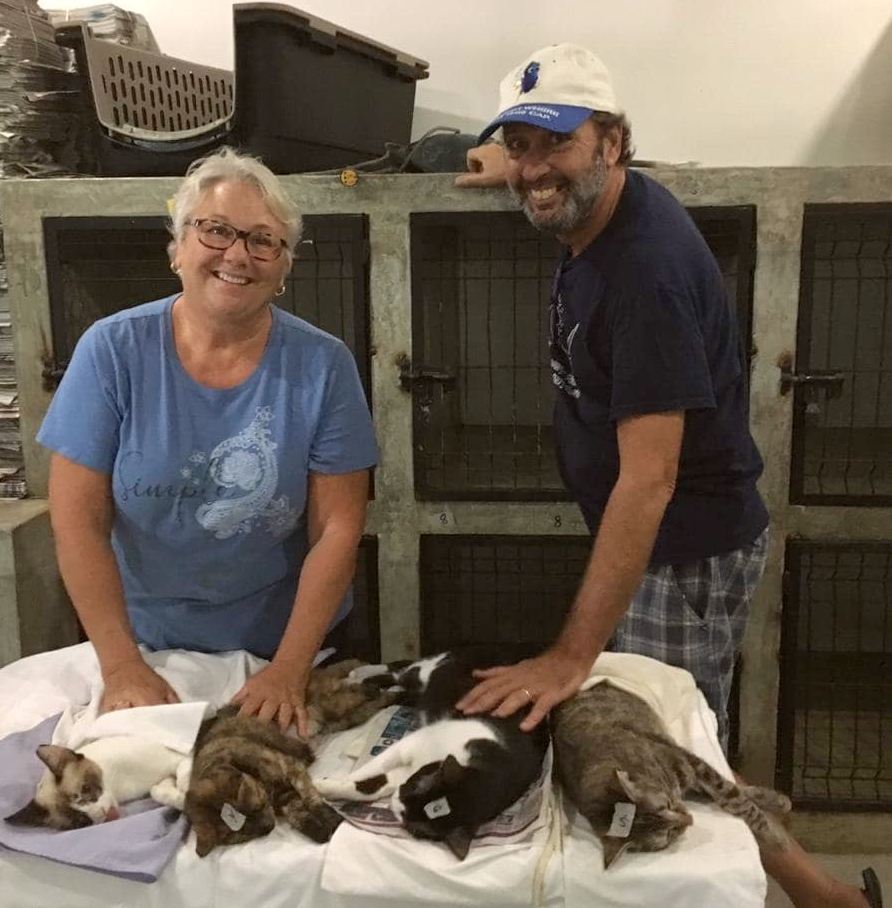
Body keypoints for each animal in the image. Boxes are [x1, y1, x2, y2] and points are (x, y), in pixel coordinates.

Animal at [5, 737, 190, 831]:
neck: (120, 786)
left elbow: (183, 767)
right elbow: (157, 791)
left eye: (85, 788)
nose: (104, 814)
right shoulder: (162, 779)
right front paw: (182, 799)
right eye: (81, 820)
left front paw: (186, 788)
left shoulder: (175, 757)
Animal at [185, 658, 398, 856]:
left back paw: (382, 688)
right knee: (368, 701)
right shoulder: (284, 795)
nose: (268, 827)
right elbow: (297, 813)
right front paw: (319, 830)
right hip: (347, 718)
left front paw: (330, 818)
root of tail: (315, 671)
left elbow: (312, 798)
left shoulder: (291, 768)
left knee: (358, 689)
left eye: (256, 807)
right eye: (246, 835)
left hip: (333, 705)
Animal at [315, 643, 550, 860]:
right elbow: (369, 769)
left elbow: (370, 787)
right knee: (399, 668)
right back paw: (357, 676)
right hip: (425, 671)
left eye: (418, 828)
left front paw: (327, 788)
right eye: (418, 786)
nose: (396, 804)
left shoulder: (407, 772)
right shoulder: (410, 744)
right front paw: (325, 783)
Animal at [551, 681, 792, 868]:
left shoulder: (690, 763)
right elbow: (731, 796)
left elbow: (733, 796)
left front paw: (773, 830)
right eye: (667, 834)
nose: (690, 820)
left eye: (665, 805)